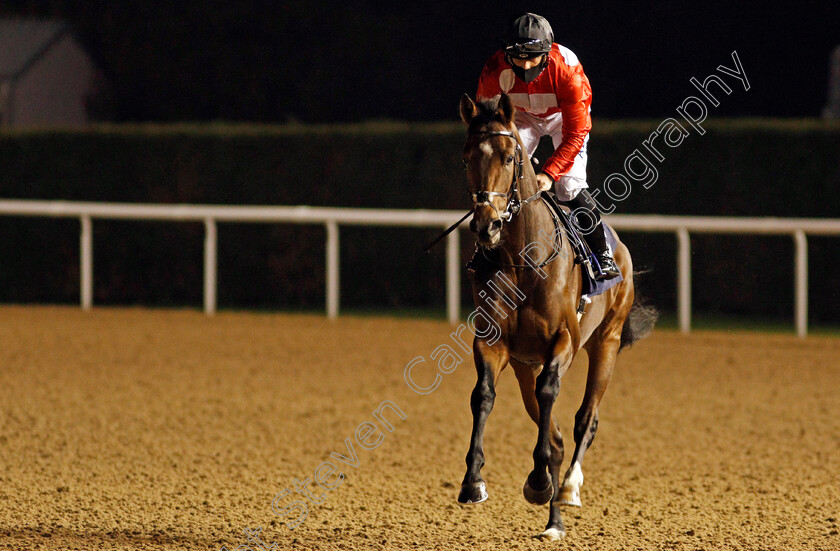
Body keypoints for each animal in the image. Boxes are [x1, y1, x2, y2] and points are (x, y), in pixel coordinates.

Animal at [452, 92, 656, 540]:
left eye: (510, 157)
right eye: (466, 155)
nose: (486, 224)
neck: (522, 260)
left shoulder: (564, 340)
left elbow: (551, 392)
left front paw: (539, 480)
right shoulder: (493, 343)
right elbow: (482, 395)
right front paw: (473, 481)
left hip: (606, 341)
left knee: (585, 421)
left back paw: (567, 489)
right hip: (523, 365)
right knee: (560, 435)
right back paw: (554, 522)